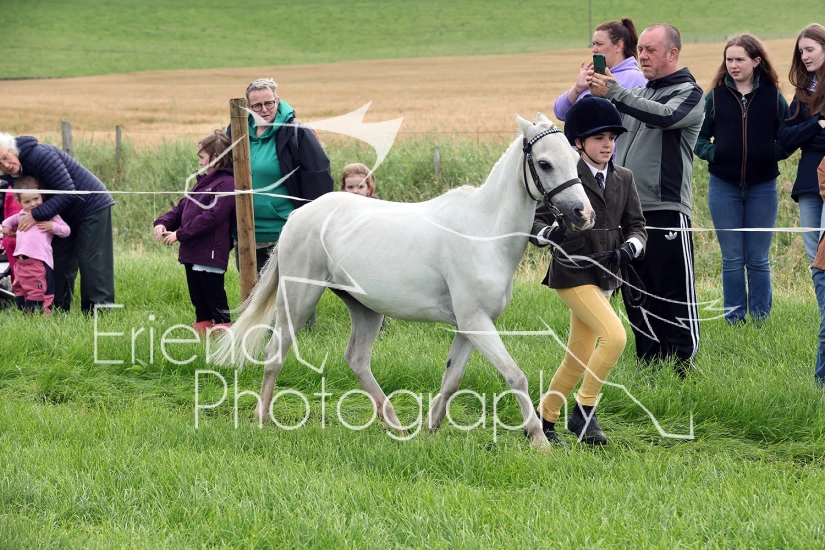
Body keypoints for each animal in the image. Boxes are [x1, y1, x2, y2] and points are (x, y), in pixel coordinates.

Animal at [214, 113, 595, 451]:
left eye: (575, 159)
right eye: (544, 163)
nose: (584, 214)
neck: (485, 233)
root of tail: (298, 215)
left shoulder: (470, 326)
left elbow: (452, 379)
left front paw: (429, 430)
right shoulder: (477, 322)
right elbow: (515, 375)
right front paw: (539, 441)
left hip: (365, 309)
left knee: (356, 360)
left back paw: (395, 424)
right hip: (299, 298)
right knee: (274, 354)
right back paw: (262, 420)